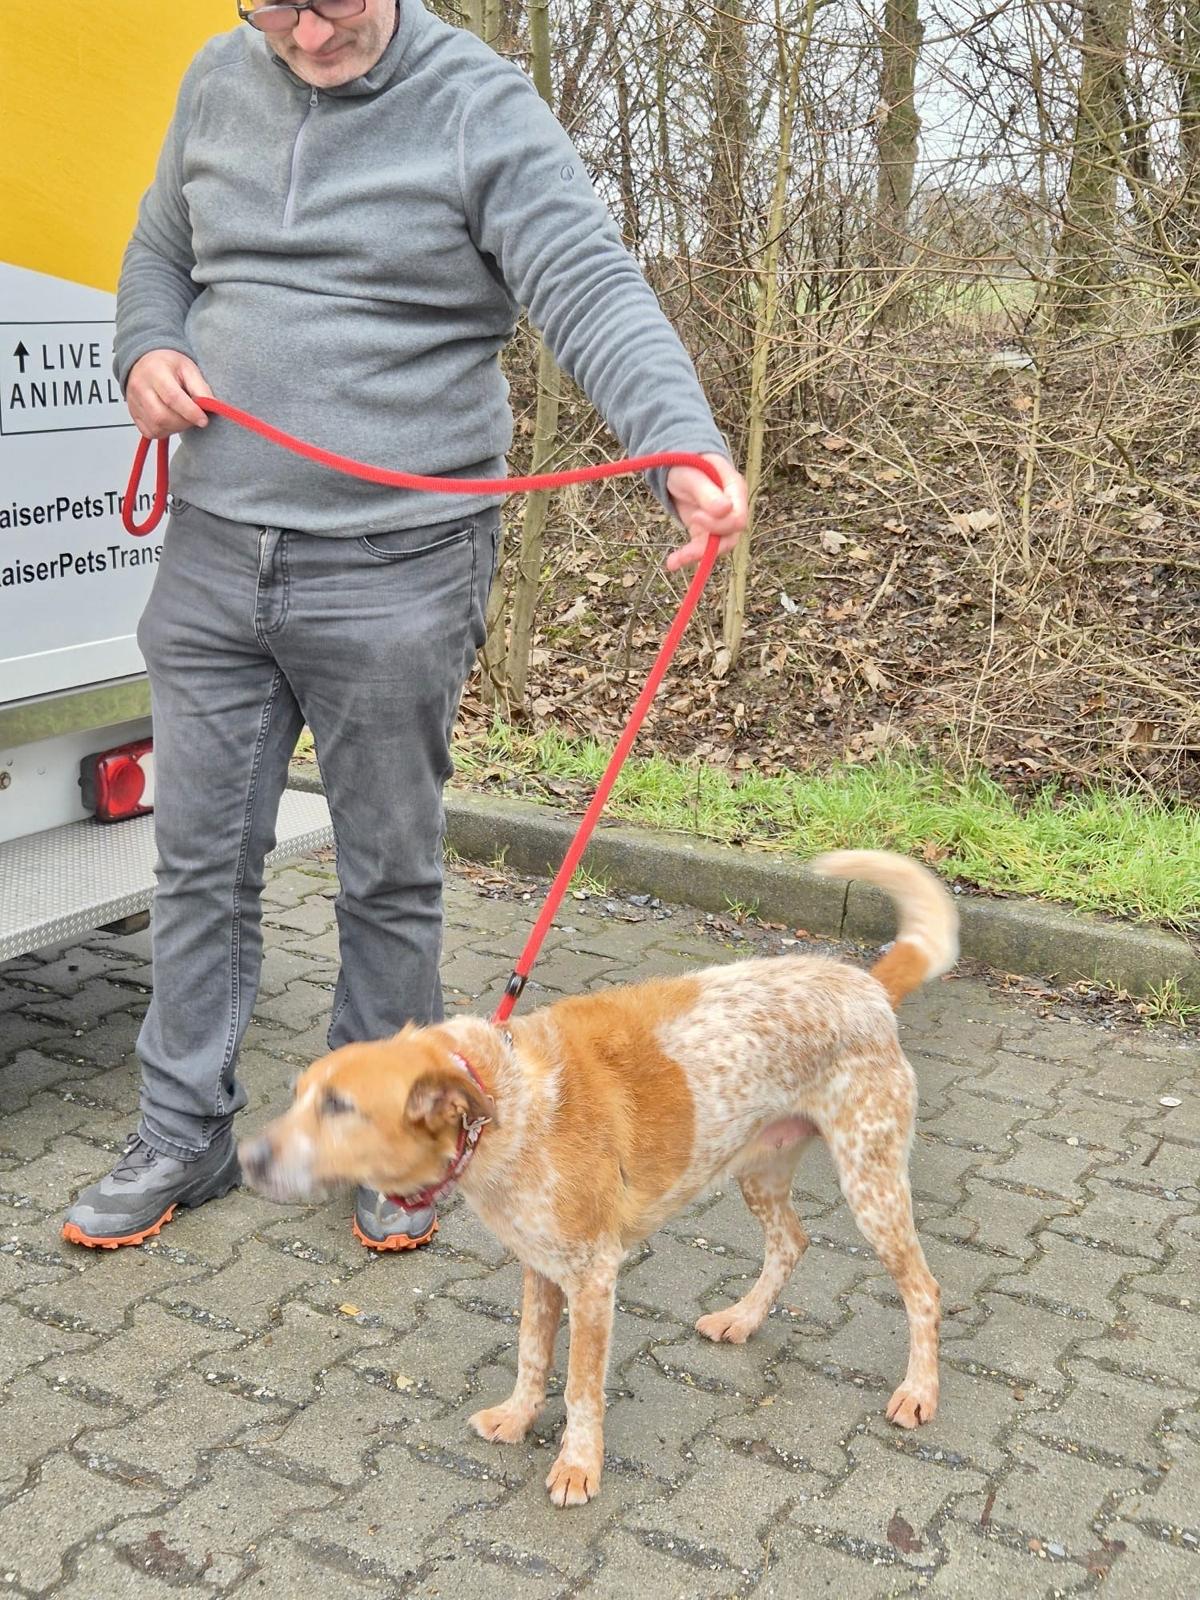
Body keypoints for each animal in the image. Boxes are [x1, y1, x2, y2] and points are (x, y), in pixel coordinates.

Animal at [240, 850, 957, 1507]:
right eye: (300, 1097)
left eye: (340, 1108)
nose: (246, 1158)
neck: (506, 1101)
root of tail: (868, 987)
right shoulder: (540, 1265)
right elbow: (532, 1355)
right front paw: (517, 1418)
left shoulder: (593, 1275)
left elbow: (583, 1388)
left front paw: (578, 1466)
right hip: (761, 1169)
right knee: (791, 1242)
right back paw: (743, 1320)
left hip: (871, 1183)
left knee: (923, 1291)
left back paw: (919, 1391)